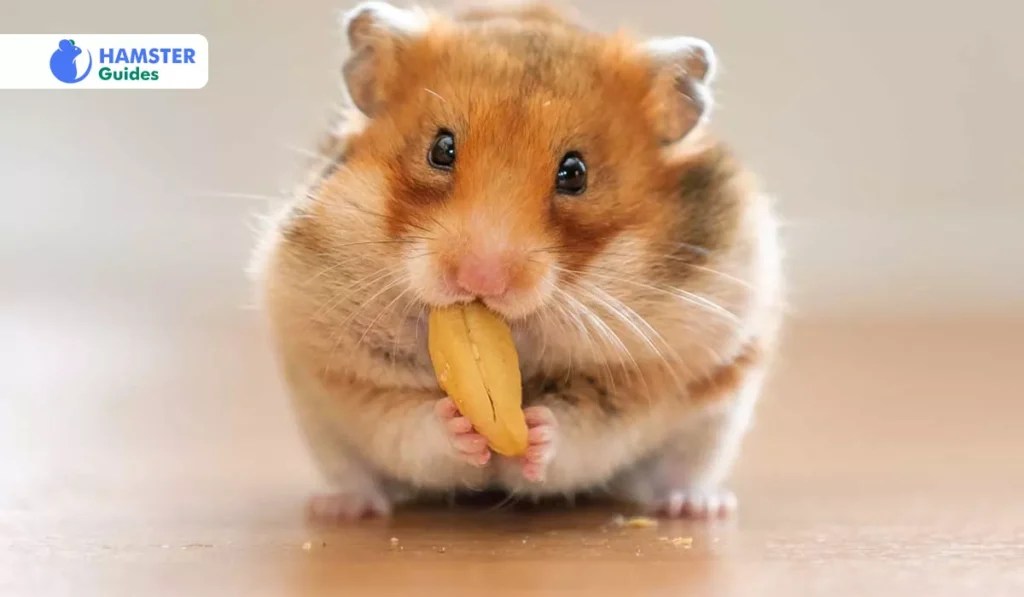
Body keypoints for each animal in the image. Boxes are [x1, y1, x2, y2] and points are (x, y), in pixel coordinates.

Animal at [252, 1, 782, 520]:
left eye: (575, 173)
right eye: (441, 149)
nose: (480, 280)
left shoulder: (646, 374)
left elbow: (584, 426)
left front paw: (536, 431)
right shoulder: (346, 368)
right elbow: (407, 420)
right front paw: (459, 425)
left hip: (716, 419)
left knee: (682, 471)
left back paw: (698, 507)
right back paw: (340, 509)